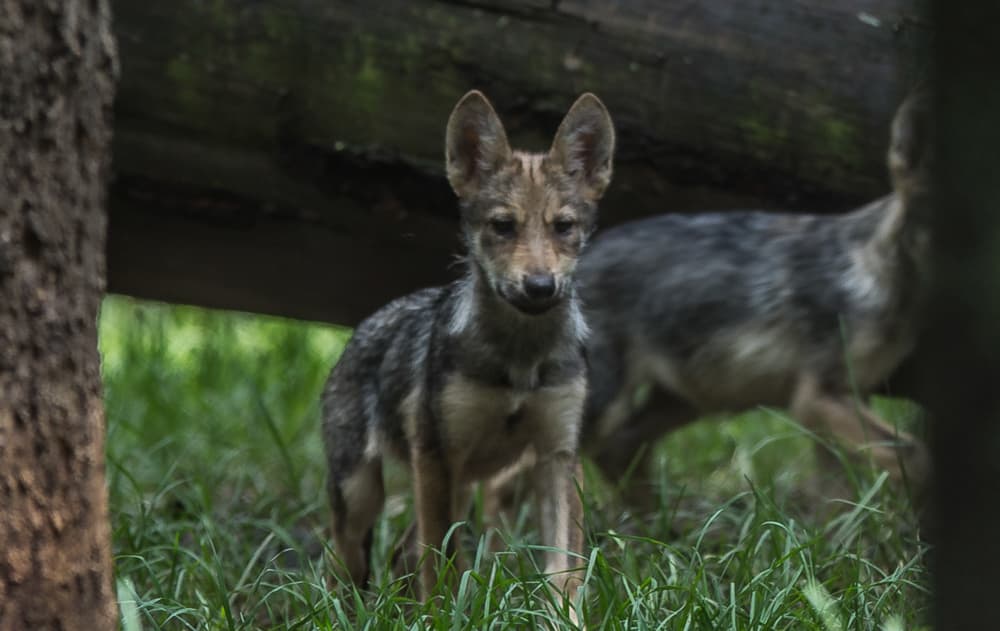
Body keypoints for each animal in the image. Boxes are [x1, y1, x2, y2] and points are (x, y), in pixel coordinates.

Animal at [321, 89, 615, 605]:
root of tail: (362, 328)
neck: (519, 360)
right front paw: (440, 614)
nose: (540, 286)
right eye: (503, 226)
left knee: (400, 553)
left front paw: (565, 617)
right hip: (363, 495)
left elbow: (563, 573)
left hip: (455, 487)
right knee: (345, 567)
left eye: (563, 227)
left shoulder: (558, 455)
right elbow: (441, 566)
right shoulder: (437, 455)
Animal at [578, 95, 932, 505]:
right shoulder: (817, 395)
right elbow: (915, 455)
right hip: (608, 402)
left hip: (688, 399)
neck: (871, 272)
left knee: (620, 449)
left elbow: (836, 494)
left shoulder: (838, 401)